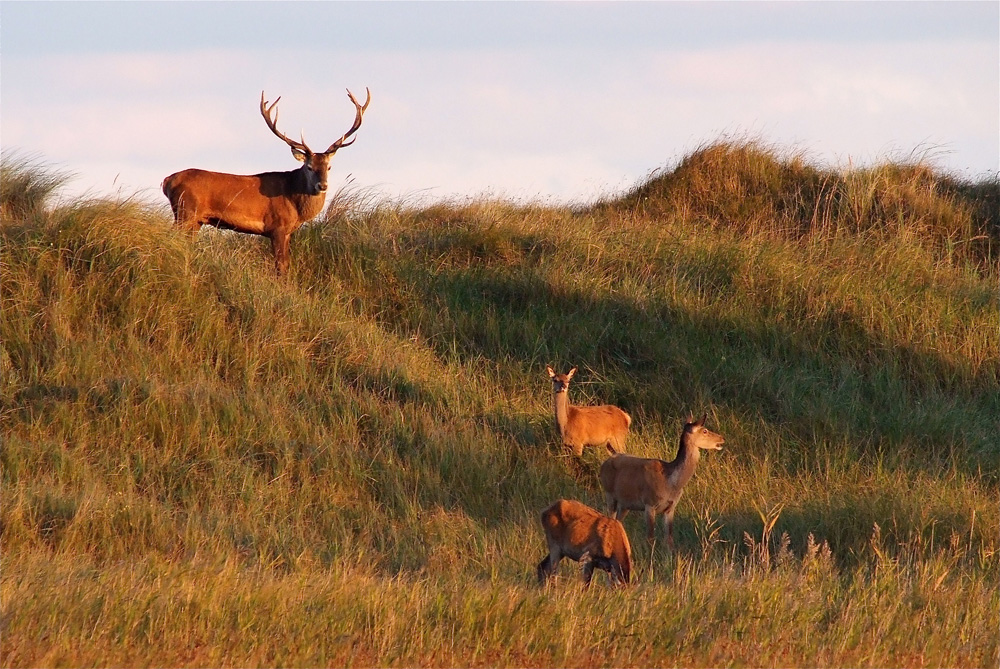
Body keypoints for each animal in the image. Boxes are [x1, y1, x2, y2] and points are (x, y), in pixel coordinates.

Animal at [161, 88, 372, 274]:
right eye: (309, 167)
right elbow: (281, 266)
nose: (322, 186)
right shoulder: (277, 226)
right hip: (185, 211)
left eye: (329, 167)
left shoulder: (287, 232)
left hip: (196, 220)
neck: (295, 204)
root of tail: (167, 181)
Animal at [596, 414, 724, 552]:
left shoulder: (671, 507)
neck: (671, 483)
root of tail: (607, 460)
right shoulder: (649, 503)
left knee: (618, 522)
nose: (722, 438)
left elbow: (669, 539)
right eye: (704, 430)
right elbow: (650, 538)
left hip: (625, 504)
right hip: (609, 493)